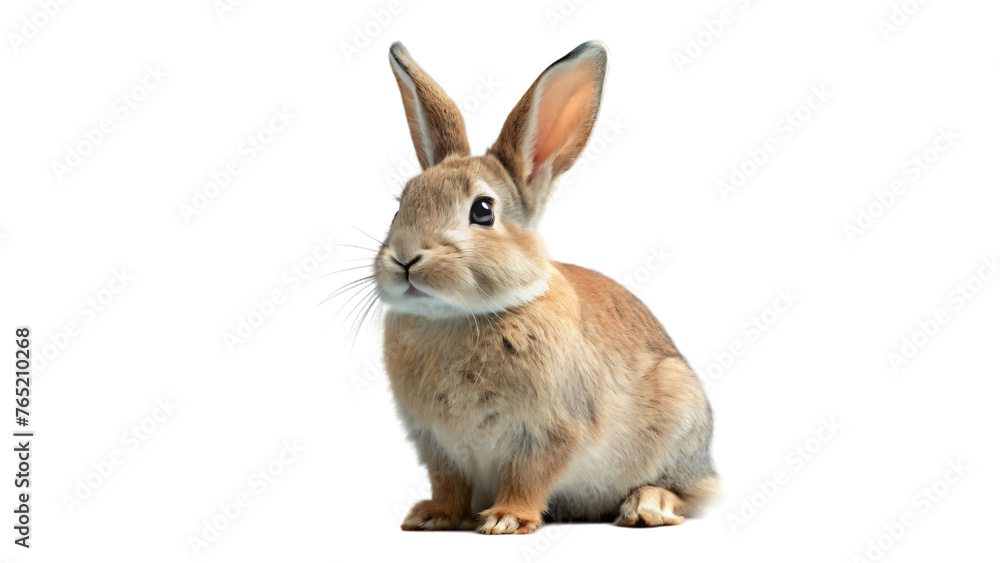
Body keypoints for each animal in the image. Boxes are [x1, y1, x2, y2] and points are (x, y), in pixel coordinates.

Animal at [373, 40, 718, 534]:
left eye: (482, 210)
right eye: (401, 204)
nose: (404, 259)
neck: (462, 318)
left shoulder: (548, 431)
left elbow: (528, 476)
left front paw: (505, 520)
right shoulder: (437, 445)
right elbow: (449, 483)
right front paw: (432, 515)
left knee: (687, 493)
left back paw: (646, 506)